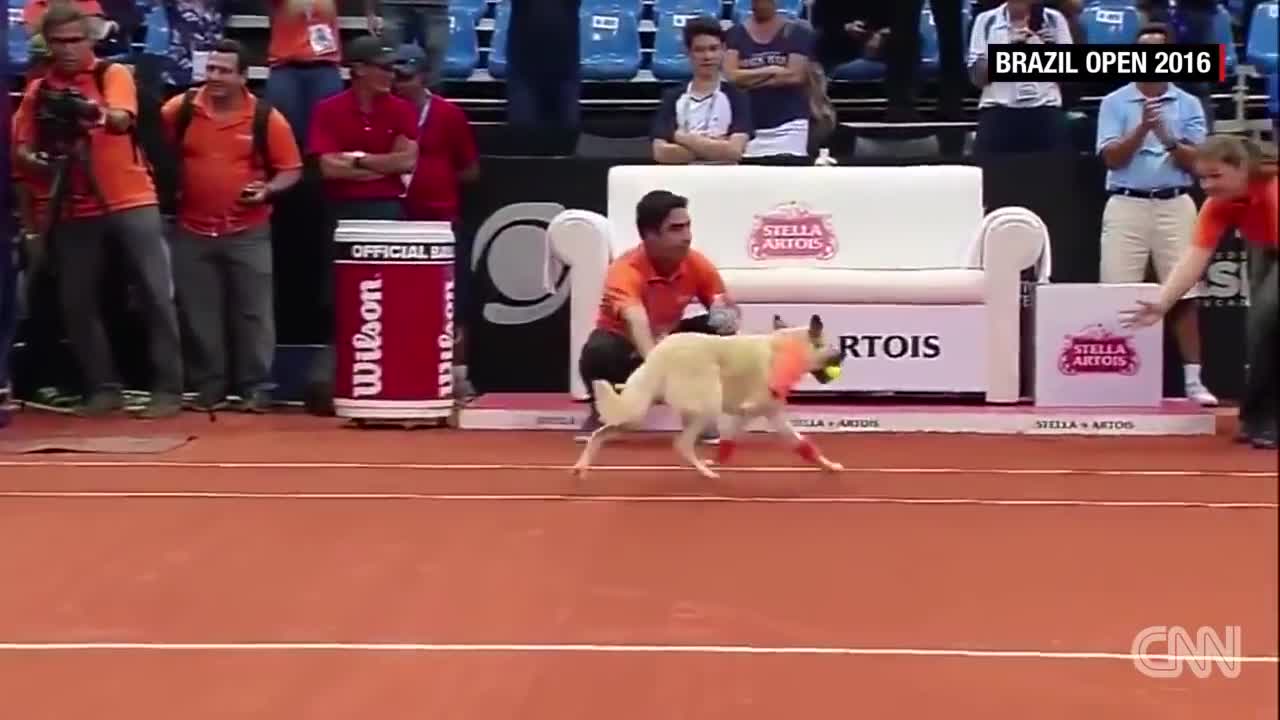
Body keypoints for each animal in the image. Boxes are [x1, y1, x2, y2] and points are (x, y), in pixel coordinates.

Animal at [576, 313, 844, 476]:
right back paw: (706, 472)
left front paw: (828, 466)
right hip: (705, 407)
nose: (842, 355)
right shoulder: (754, 411)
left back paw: (581, 466)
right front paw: (718, 461)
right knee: (682, 444)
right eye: (832, 346)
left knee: (600, 434)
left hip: (636, 415)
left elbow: (803, 445)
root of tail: (658, 354)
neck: (786, 351)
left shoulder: (768, 414)